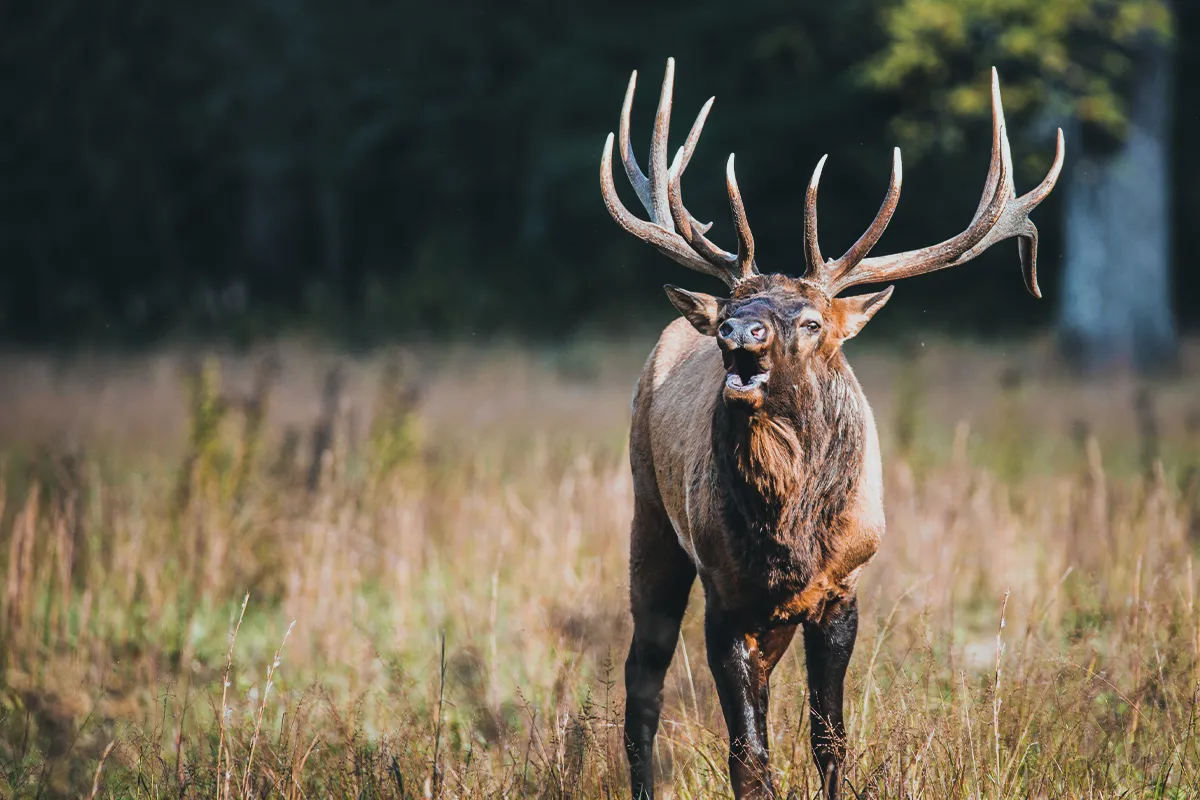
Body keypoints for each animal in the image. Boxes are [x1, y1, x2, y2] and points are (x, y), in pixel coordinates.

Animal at [600, 59, 1063, 800]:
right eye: (730, 308)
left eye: (812, 321)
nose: (739, 331)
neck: (787, 533)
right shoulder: (724, 591)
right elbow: (748, 755)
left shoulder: (844, 584)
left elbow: (829, 738)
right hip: (650, 515)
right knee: (642, 680)